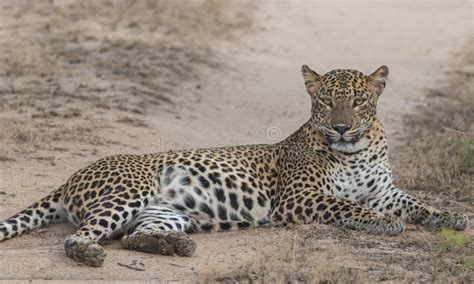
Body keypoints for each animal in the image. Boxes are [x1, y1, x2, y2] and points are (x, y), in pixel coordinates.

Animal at [0, 64, 468, 266]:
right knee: (77, 238)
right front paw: (383, 224)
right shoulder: (298, 198)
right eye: (325, 101)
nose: (340, 127)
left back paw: (174, 246)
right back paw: (91, 254)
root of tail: (70, 177)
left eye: (357, 101)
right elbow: (348, 205)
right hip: (129, 192)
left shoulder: (385, 191)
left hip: (164, 212)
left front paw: (453, 217)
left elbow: (418, 204)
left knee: (133, 237)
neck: (358, 149)